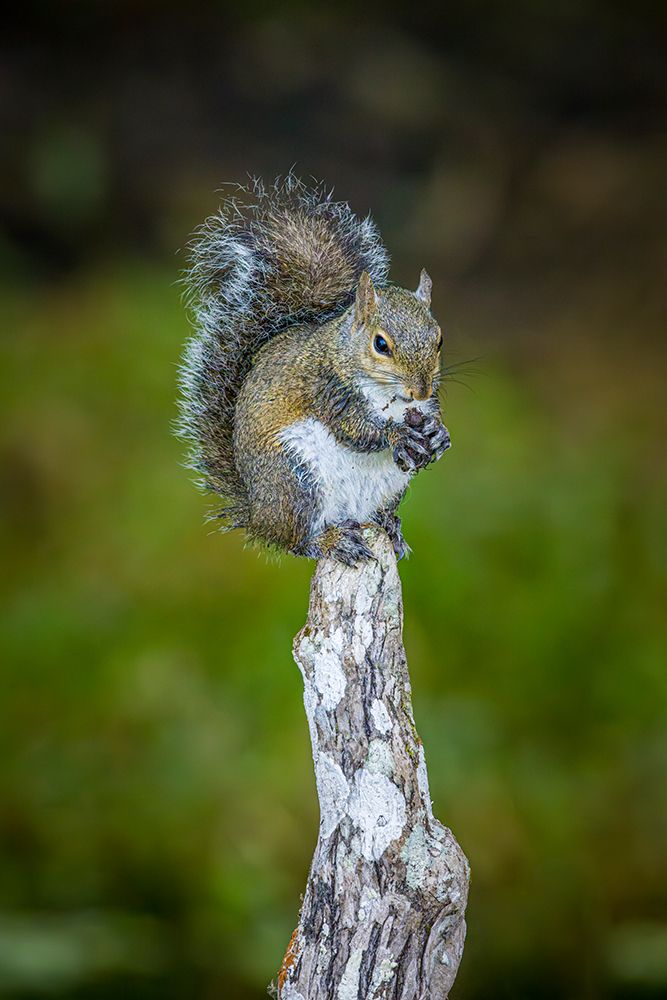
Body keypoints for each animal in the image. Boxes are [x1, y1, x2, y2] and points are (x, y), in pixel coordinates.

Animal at [179, 175, 451, 565]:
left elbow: (431, 418)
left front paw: (439, 434)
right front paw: (397, 435)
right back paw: (331, 541)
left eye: (439, 339)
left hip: (388, 487)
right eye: (381, 344)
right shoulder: (327, 390)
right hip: (295, 479)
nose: (422, 390)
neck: (392, 398)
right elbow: (358, 430)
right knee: (296, 542)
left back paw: (390, 527)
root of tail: (257, 513)